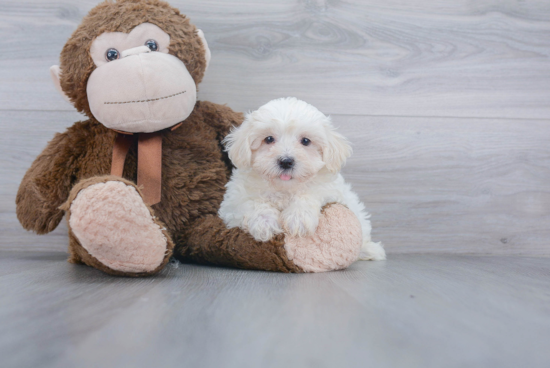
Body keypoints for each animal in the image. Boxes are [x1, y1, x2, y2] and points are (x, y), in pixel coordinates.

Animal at [220, 96, 388, 260]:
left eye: (305, 141)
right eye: (268, 139)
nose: (286, 161)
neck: (284, 188)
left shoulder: (330, 190)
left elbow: (310, 194)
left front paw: (298, 218)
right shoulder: (232, 202)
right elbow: (250, 202)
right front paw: (265, 222)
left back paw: (371, 250)